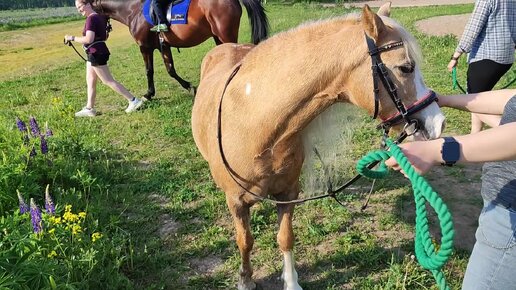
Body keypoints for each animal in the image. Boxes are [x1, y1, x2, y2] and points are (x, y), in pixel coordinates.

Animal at [86, 0, 268, 99]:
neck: (133, 9)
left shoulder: (145, 47)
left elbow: (149, 71)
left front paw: (148, 94)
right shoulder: (163, 46)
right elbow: (170, 70)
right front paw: (190, 87)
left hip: (226, 35)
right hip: (219, 38)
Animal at [191, 2, 446, 290]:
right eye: (405, 68)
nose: (438, 123)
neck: (256, 123)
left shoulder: (288, 193)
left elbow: (285, 237)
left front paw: (291, 282)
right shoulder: (235, 201)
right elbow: (244, 241)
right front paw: (245, 280)